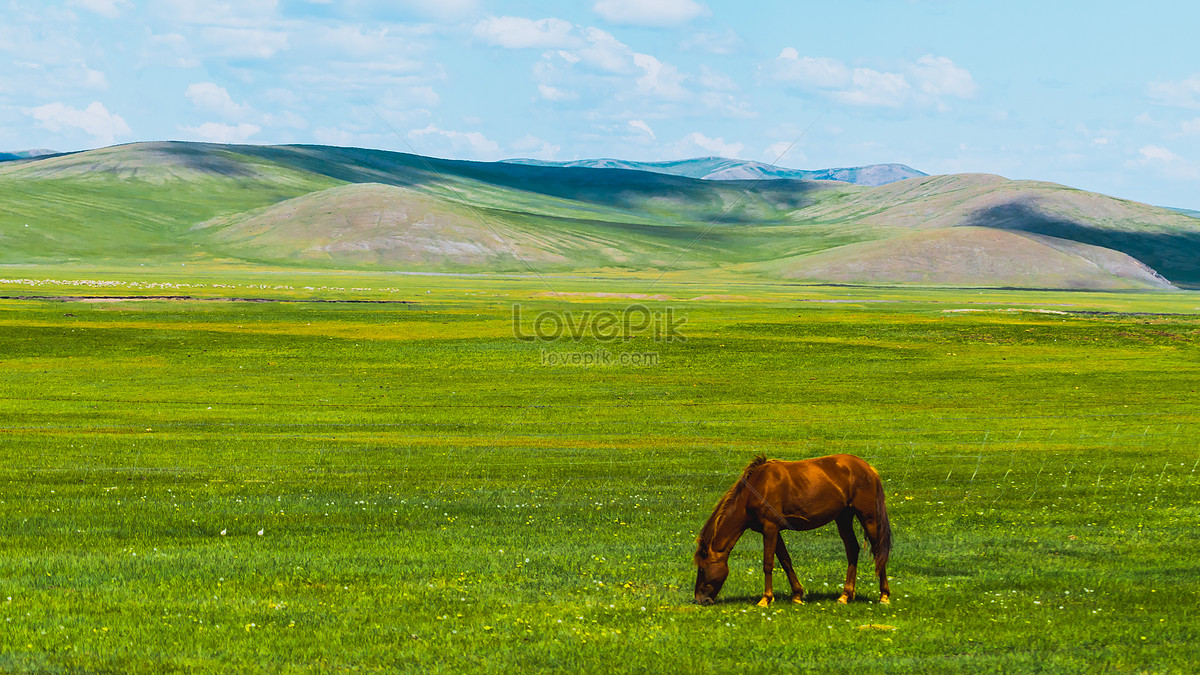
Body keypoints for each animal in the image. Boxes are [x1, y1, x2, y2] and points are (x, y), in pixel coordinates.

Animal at [696, 451, 892, 605]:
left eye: (702, 569)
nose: (700, 599)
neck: (756, 488)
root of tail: (869, 469)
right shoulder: (773, 531)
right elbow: (785, 561)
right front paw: (797, 595)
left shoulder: (770, 528)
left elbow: (768, 564)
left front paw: (765, 599)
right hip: (843, 517)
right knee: (852, 548)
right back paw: (845, 595)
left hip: (868, 517)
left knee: (877, 551)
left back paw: (884, 596)